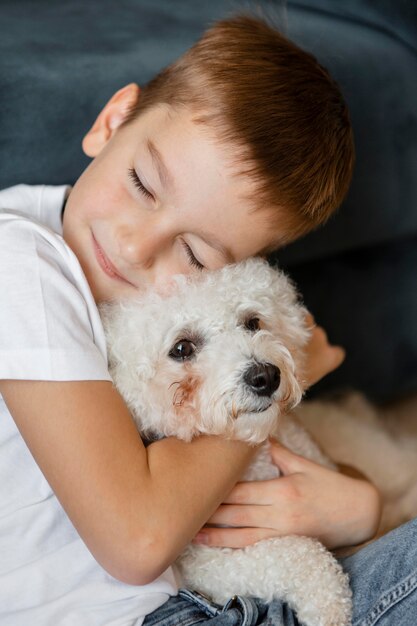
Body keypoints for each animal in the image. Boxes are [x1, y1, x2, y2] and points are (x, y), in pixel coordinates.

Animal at [100, 258, 352, 624]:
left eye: (252, 322)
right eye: (182, 348)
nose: (265, 376)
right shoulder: (206, 562)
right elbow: (296, 554)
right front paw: (328, 605)